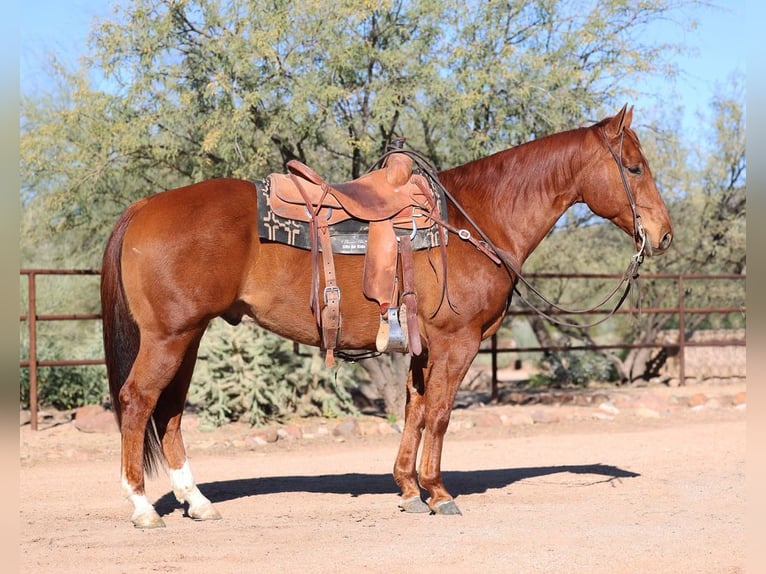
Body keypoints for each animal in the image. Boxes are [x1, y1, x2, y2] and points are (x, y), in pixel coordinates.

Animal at [101, 105, 672, 528]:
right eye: (635, 168)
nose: (663, 234)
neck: (474, 220)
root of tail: (142, 207)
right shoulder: (457, 343)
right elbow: (439, 415)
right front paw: (439, 493)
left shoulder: (423, 347)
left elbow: (414, 411)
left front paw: (407, 489)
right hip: (169, 337)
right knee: (137, 403)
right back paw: (143, 507)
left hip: (188, 337)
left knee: (170, 412)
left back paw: (197, 502)